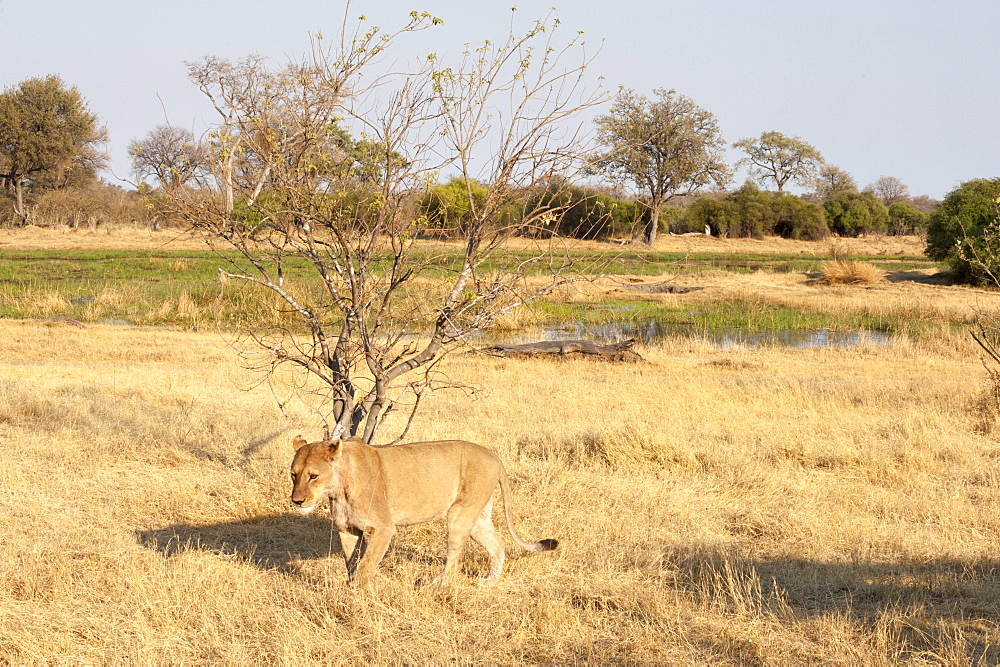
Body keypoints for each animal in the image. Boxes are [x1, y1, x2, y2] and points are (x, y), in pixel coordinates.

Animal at [290, 438, 560, 588]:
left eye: (313, 476)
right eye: (293, 474)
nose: (297, 501)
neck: (339, 489)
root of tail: (494, 456)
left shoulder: (384, 528)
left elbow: (366, 565)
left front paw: (357, 595)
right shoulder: (347, 530)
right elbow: (351, 563)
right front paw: (350, 586)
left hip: (459, 515)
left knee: (455, 560)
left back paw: (433, 587)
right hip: (477, 519)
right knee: (498, 546)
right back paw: (489, 582)